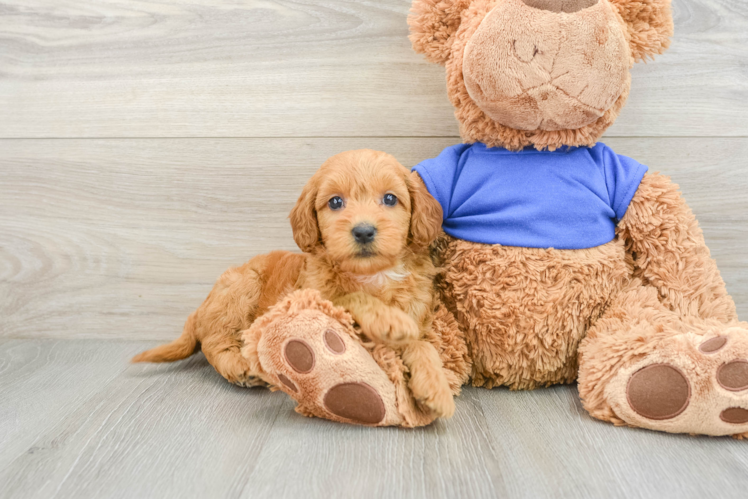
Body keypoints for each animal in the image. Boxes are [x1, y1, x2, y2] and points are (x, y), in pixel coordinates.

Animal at [131, 148, 452, 418]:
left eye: (390, 199)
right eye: (336, 202)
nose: (363, 231)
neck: (372, 274)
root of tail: (199, 310)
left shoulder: (416, 310)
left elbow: (421, 345)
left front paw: (435, 386)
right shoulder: (310, 296)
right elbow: (350, 298)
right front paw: (388, 320)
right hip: (241, 287)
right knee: (214, 341)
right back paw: (238, 366)